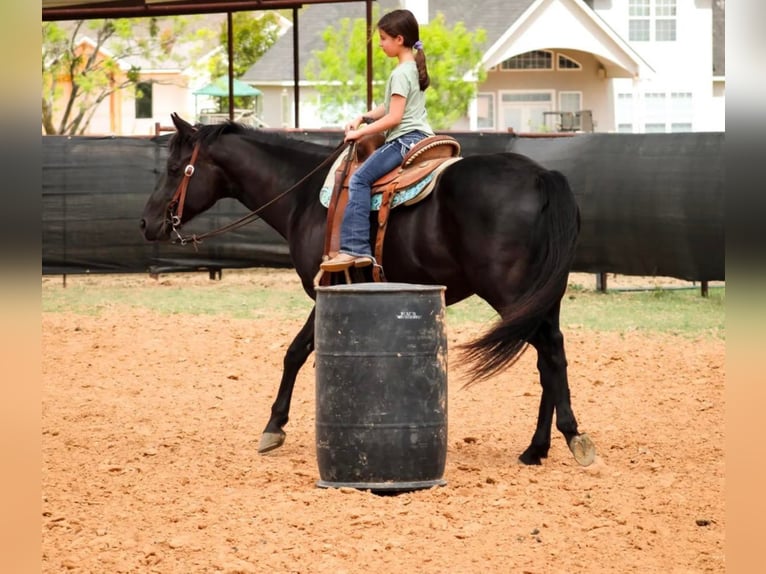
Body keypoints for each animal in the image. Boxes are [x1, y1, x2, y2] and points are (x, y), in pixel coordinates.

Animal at [141, 113, 596, 468]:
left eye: (173, 168)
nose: (147, 223)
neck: (304, 196)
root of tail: (541, 176)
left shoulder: (326, 288)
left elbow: (295, 352)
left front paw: (272, 428)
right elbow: (301, 351)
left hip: (512, 295)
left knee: (551, 352)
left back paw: (572, 438)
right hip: (541, 298)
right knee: (549, 356)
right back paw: (536, 448)